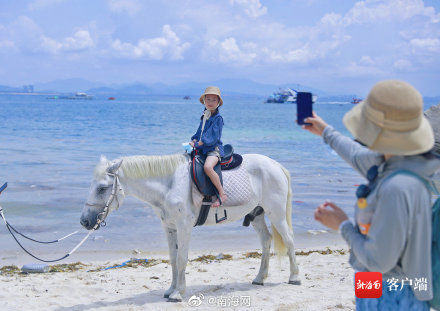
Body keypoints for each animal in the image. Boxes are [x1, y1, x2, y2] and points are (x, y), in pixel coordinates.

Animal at [80, 154, 300, 302]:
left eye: (102, 188)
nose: (84, 221)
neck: (169, 185)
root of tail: (275, 165)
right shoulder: (169, 227)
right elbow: (173, 259)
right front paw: (171, 290)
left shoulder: (184, 226)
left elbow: (182, 258)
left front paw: (178, 293)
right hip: (257, 215)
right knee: (266, 241)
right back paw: (260, 278)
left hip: (276, 213)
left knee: (289, 240)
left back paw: (294, 277)